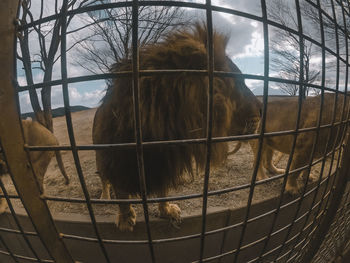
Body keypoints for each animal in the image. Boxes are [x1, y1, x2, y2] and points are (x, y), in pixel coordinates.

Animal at [93, 23, 262, 232]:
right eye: (236, 82)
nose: (262, 109)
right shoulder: (116, 162)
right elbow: (122, 194)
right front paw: (125, 219)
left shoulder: (165, 165)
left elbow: (163, 191)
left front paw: (167, 211)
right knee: (104, 180)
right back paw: (105, 197)